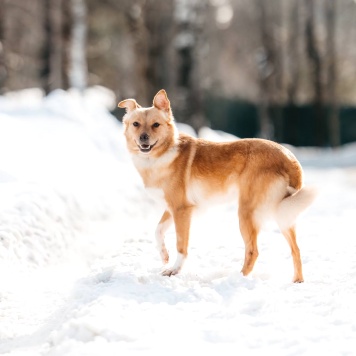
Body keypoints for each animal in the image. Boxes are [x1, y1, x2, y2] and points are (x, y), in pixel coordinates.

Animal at [118, 89, 316, 284]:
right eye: (136, 124)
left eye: (156, 125)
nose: (143, 138)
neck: (160, 155)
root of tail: (290, 159)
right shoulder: (173, 208)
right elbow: (157, 231)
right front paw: (164, 256)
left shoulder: (182, 210)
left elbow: (181, 245)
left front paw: (174, 270)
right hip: (283, 215)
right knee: (296, 249)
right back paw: (297, 280)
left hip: (247, 212)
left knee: (253, 251)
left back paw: (238, 278)